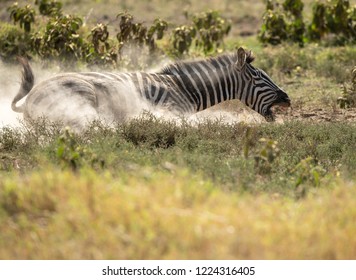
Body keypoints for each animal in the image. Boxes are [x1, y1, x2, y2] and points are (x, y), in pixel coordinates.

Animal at [11, 47, 290, 129]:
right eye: (259, 78)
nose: (288, 99)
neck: (184, 88)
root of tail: (29, 99)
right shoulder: (174, 110)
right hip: (80, 96)